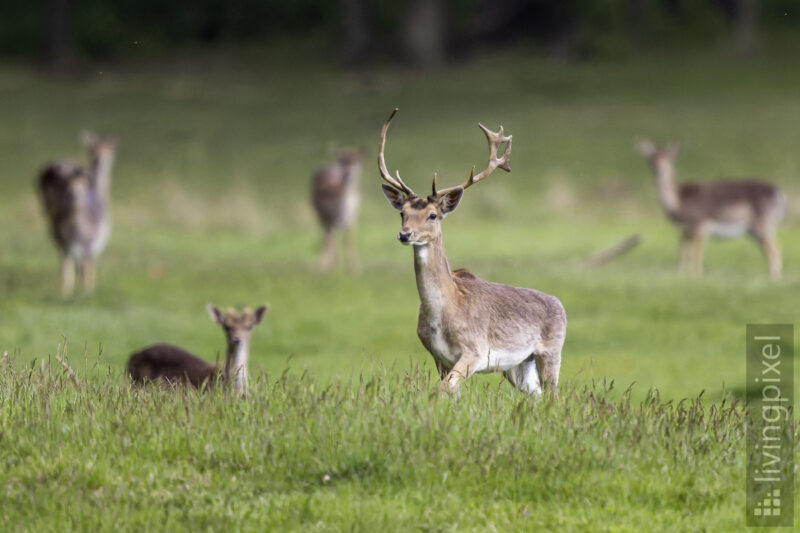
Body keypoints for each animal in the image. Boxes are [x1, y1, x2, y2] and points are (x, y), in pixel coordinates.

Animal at [37, 131, 117, 296]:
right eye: (93, 148)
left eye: (109, 149)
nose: (101, 158)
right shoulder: (96, 242)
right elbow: (89, 265)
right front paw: (88, 288)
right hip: (85, 238)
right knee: (79, 262)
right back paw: (83, 292)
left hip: (50, 215)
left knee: (64, 258)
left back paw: (66, 292)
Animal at [377, 109, 567, 396]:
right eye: (403, 213)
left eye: (433, 215)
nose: (405, 234)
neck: (447, 312)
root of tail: (560, 304)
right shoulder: (439, 358)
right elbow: (446, 391)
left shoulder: (475, 351)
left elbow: (442, 390)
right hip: (519, 364)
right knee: (537, 395)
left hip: (552, 350)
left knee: (554, 395)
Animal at [637, 140, 785, 279]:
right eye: (651, 158)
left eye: (668, 158)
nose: (657, 167)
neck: (677, 202)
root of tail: (780, 195)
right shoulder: (685, 230)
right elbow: (683, 253)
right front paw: (681, 275)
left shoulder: (700, 224)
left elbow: (696, 255)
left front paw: (696, 276)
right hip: (755, 230)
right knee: (770, 249)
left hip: (763, 224)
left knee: (775, 249)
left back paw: (773, 278)